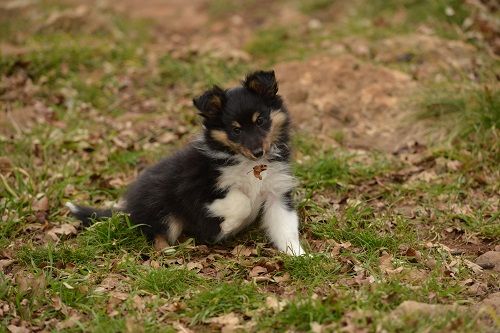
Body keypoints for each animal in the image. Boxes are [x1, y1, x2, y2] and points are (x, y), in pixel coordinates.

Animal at [66, 70, 304, 254]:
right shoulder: (196, 189)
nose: (257, 152)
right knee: (155, 234)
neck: (250, 166)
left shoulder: (276, 193)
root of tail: (127, 208)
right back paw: (168, 254)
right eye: (235, 130)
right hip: (161, 206)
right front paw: (226, 226)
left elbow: (286, 228)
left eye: (261, 120)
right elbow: (242, 202)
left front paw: (299, 256)